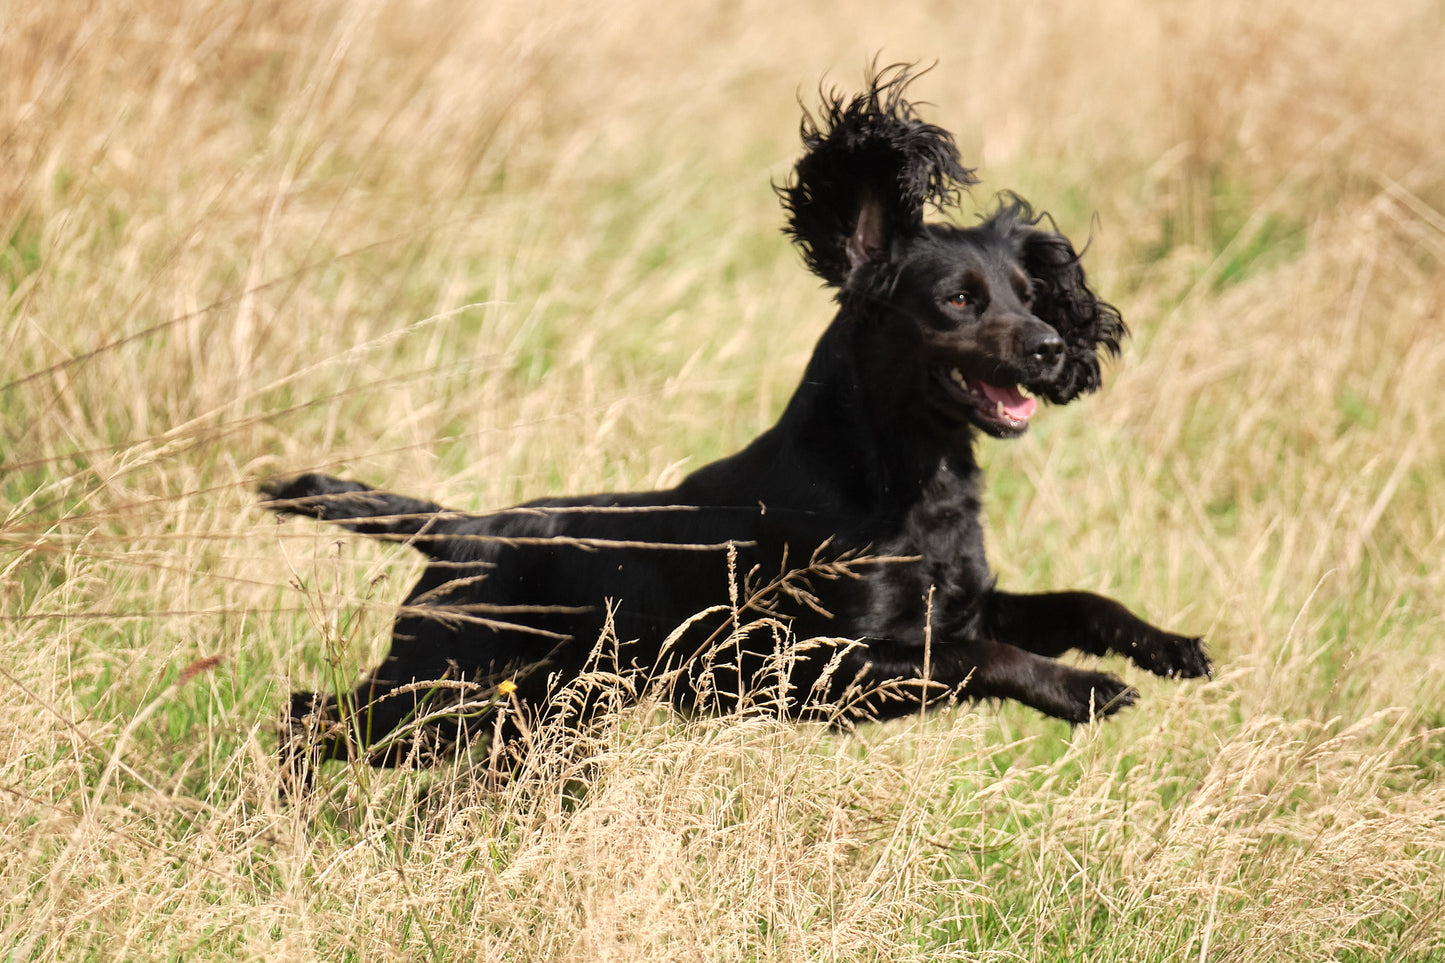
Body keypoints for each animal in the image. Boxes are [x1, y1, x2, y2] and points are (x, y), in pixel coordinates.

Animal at [260, 65, 1208, 780]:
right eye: (958, 300)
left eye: (1029, 293)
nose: (1049, 349)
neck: (903, 485)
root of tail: (460, 529)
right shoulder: (817, 665)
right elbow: (982, 658)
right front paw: (1081, 688)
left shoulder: (964, 607)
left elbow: (1077, 601)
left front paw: (1164, 645)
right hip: (437, 684)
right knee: (306, 717)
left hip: (515, 704)